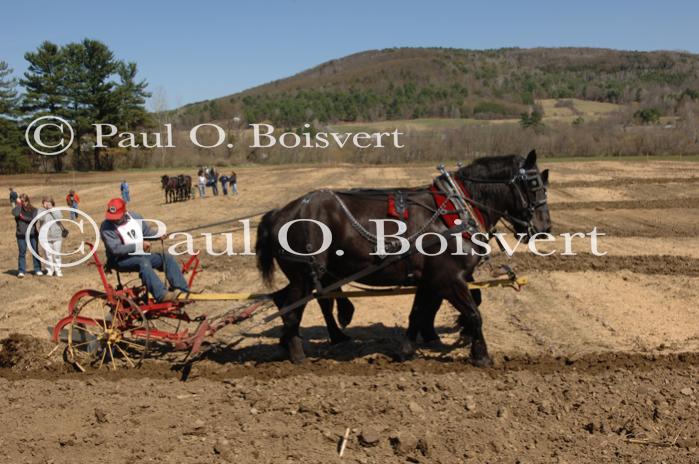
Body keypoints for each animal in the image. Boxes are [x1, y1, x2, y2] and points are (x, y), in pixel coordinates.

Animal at [254, 152, 548, 366]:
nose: (545, 227)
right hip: (304, 275)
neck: (457, 210)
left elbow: (418, 313)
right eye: (534, 184)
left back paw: (309, 341)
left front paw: (406, 350)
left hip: (307, 275)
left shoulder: (431, 278)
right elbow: (474, 314)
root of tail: (281, 212)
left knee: (290, 301)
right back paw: (298, 355)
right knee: (292, 309)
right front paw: (481, 356)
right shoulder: (449, 278)